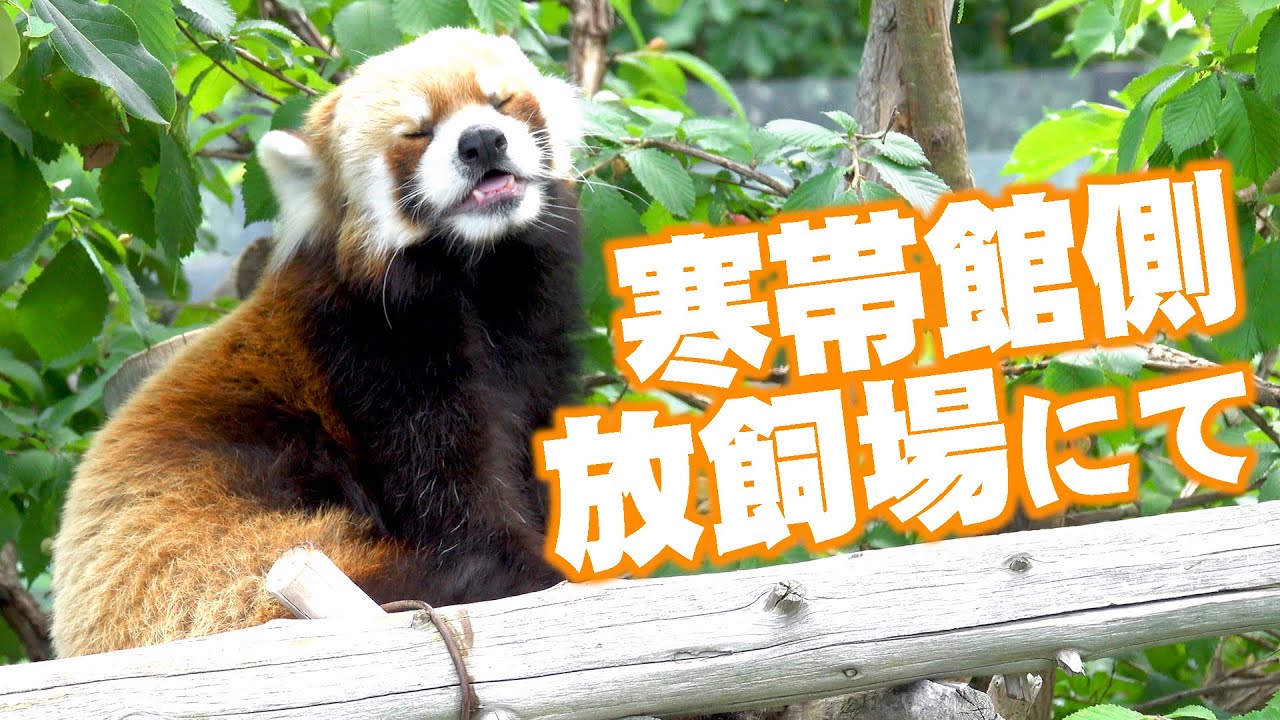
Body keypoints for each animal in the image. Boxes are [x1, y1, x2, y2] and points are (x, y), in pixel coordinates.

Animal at [50, 27, 585, 657]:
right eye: (417, 131)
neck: (475, 272)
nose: (481, 141)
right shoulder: (373, 351)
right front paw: (534, 568)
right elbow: (454, 492)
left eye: (501, 101)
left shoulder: (529, 337)